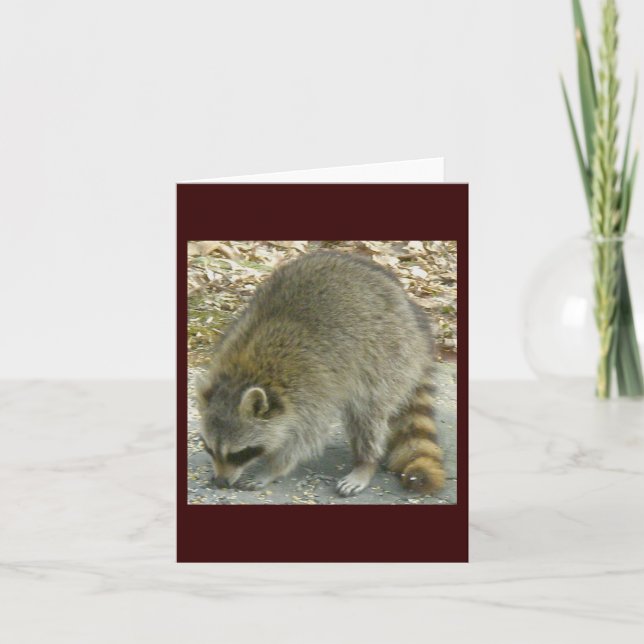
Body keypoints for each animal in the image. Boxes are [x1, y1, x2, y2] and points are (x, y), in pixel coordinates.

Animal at [196, 250, 445, 497]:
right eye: (209, 448)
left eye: (239, 453)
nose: (220, 482)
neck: (245, 374)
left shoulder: (311, 391)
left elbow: (303, 438)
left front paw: (273, 469)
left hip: (387, 356)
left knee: (367, 414)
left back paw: (366, 462)